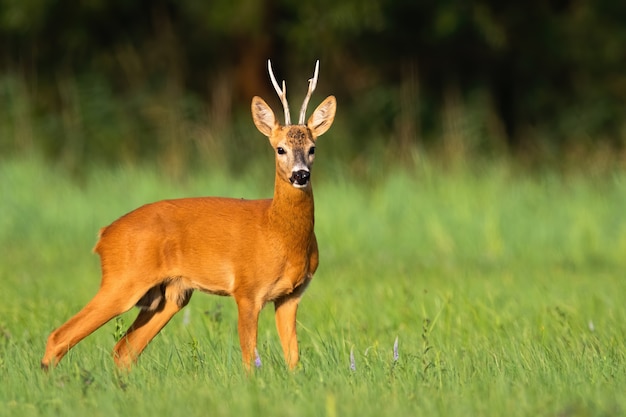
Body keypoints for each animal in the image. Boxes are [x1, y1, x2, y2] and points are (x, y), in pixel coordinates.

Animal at [40, 60, 336, 368]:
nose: (300, 175)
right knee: (59, 336)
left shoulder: (291, 296)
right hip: (122, 280)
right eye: (280, 149)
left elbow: (294, 360)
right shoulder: (246, 290)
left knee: (123, 351)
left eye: (312, 149)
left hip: (169, 296)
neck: (277, 231)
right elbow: (248, 359)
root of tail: (104, 235)